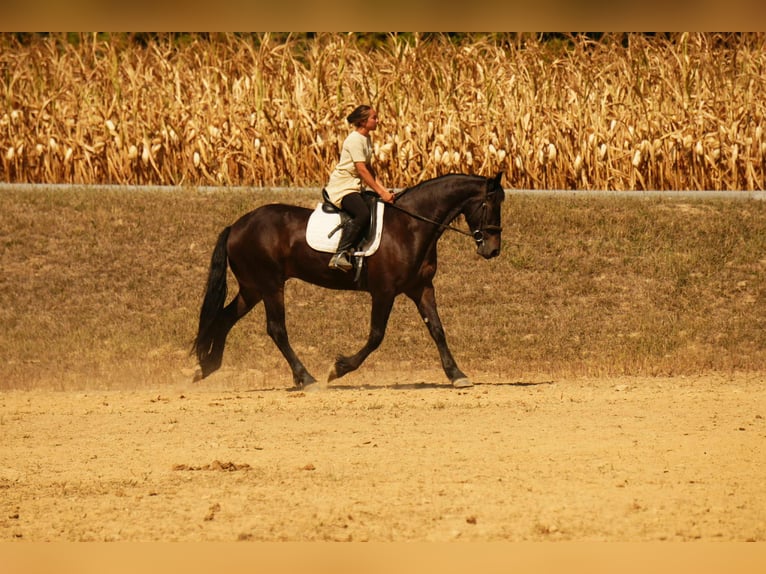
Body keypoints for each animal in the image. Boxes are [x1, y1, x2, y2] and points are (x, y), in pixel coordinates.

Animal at [192, 171, 505, 389]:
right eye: (489, 204)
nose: (492, 250)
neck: (410, 226)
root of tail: (237, 225)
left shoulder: (421, 288)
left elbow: (438, 330)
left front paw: (457, 375)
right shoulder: (384, 291)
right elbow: (376, 336)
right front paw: (339, 368)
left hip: (252, 288)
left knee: (224, 318)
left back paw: (207, 366)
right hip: (270, 286)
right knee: (276, 329)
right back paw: (307, 378)